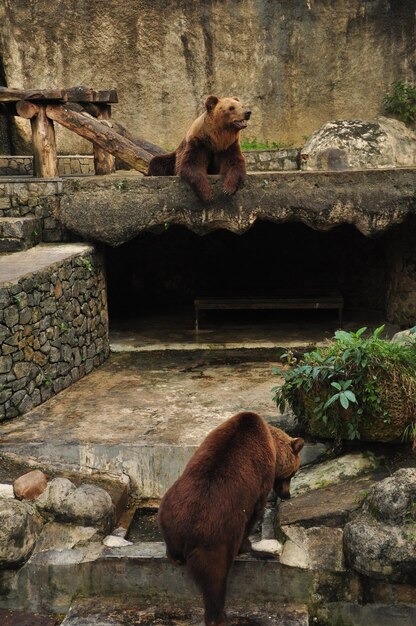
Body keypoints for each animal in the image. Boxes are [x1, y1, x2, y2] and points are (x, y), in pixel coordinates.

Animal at [158, 410, 304, 624]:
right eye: (293, 473)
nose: (287, 494)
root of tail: (187, 528)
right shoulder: (258, 484)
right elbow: (254, 514)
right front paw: (247, 545)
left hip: (169, 514)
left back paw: (175, 558)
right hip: (216, 536)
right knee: (215, 577)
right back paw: (218, 616)